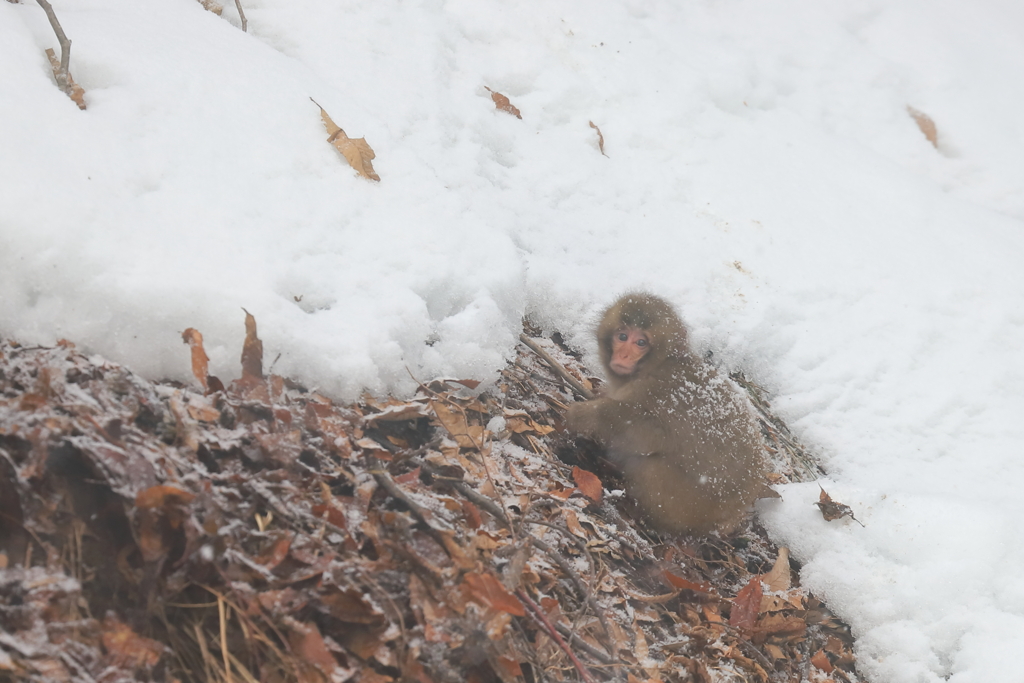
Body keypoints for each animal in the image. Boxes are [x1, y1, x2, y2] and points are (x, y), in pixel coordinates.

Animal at [565, 292, 770, 532]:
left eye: (641, 342)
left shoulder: (656, 391)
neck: (660, 363)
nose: (623, 356)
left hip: (688, 508)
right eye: (622, 336)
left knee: (650, 466)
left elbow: (648, 432)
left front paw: (584, 416)